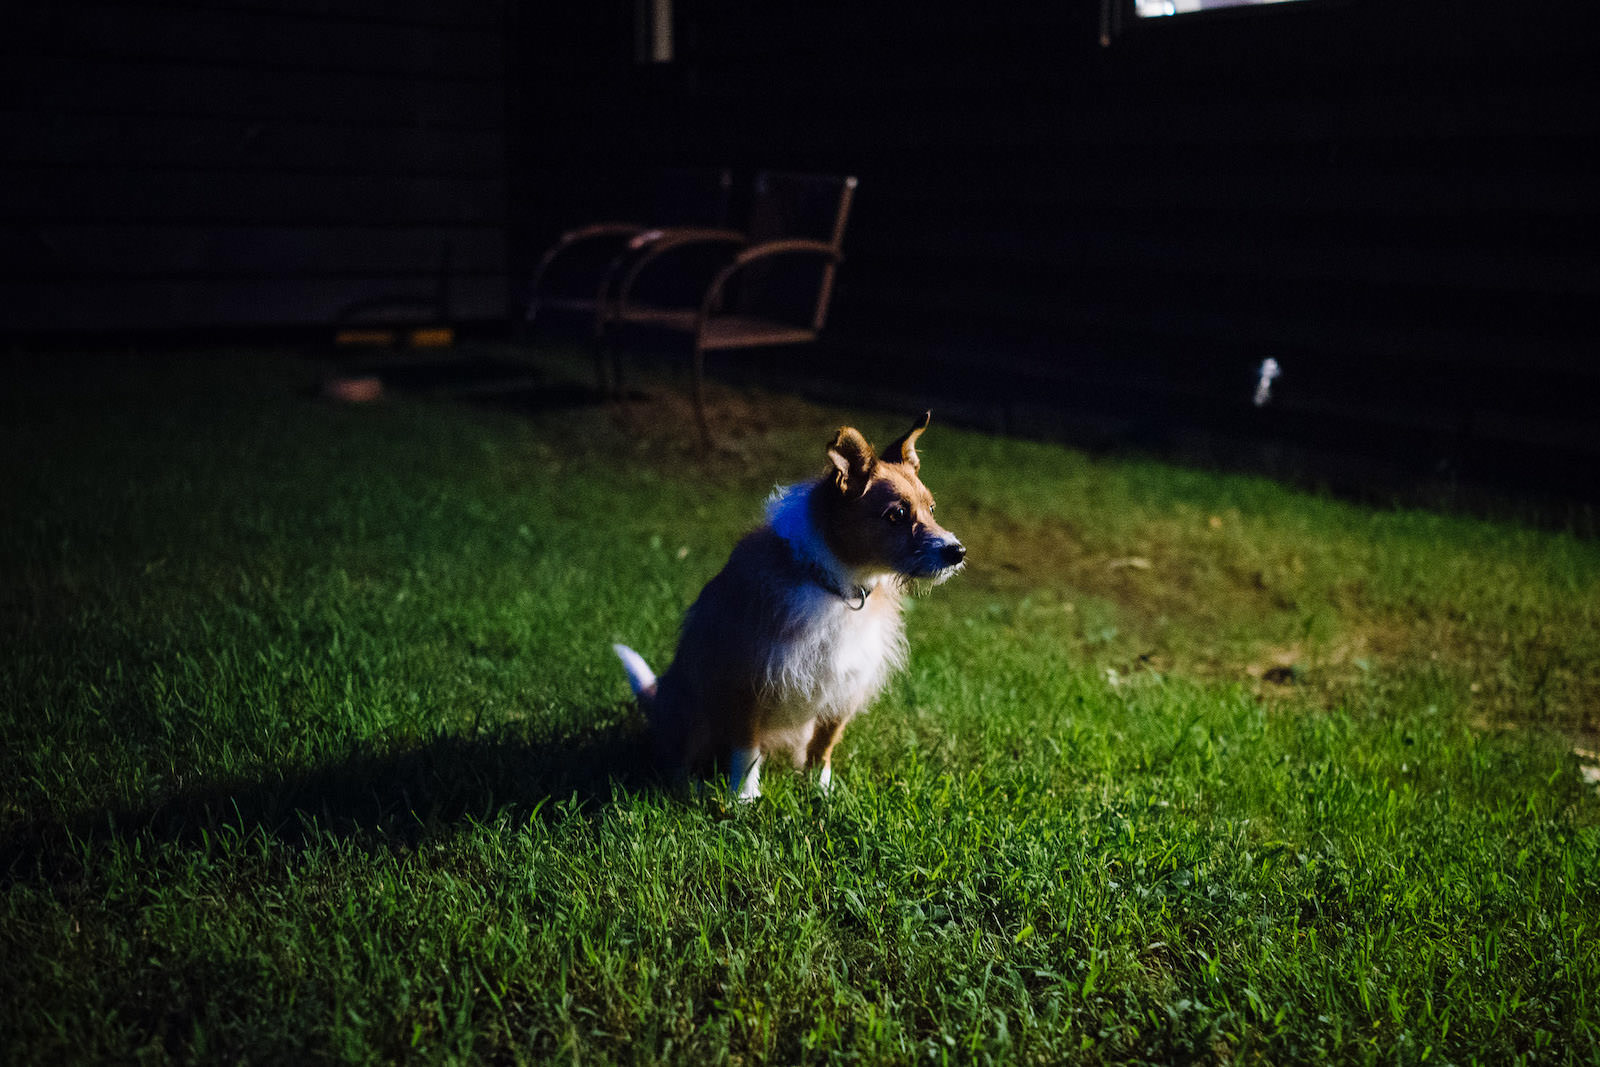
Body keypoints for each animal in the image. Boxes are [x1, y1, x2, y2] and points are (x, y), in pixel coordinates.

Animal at [613, 412, 965, 800]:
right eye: (897, 515)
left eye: (931, 509)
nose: (957, 552)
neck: (835, 585)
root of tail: (657, 698)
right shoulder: (747, 683)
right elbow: (746, 751)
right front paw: (744, 798)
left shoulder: (842, 687)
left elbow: (824, 746)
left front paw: (822, 790)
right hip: (692, 712)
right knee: (677, 761)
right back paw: (691, 787)